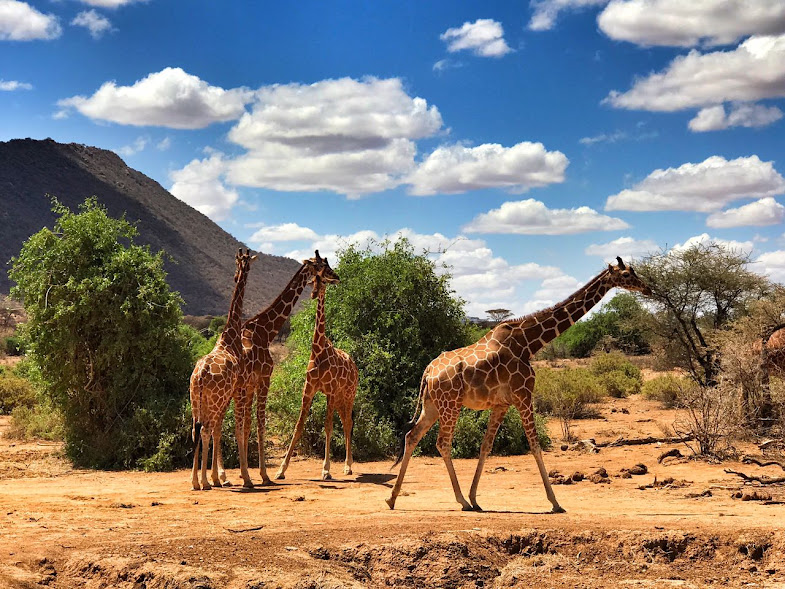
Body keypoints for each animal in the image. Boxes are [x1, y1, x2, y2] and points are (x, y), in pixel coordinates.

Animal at [188, 246, 256, 490]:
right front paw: (237, 478)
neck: (230, 336)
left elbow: (219, 429)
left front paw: (218, 477)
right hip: (215, 398)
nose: (237, 275)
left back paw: (196, 481)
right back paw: (203, 482)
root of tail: (200, 375)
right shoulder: (238, 388)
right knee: (206, 429)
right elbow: (232, 428)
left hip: (196, 399)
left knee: (196, 429)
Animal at [234, 250, 330, 484]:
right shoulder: (264, 378)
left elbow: (249, 425)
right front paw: (263, 474)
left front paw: (247, 471)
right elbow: (260, 423)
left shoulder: (252, 384)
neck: (266, 331)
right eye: (320, 266)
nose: (336, 276)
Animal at [276, 260, 358, 480]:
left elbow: (328, 427)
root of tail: (354, 365)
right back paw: (346, 465)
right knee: (345, 421)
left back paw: (348, 466)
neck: (318, 351)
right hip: (340, 397)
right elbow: (298, 425)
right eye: (313, 280)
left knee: (348, 423)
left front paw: (326, 469)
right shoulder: (309, 389)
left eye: (324, 279)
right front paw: (281, 469)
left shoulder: (329, 391)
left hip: (348, 394)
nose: (314, 293)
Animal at [386, 256, 648, 510]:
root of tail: (428, 371)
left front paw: (475, 498)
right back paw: (459, 500)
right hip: (451, 405)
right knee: (442, 443)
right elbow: (535, 445)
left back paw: (393, 498)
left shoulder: (501, 404)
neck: (529, 344)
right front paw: (555, 502)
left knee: (412, 436)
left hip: (432, 405)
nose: (646, 287)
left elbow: (486, 446)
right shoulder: (524, 395)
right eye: (627, 274)